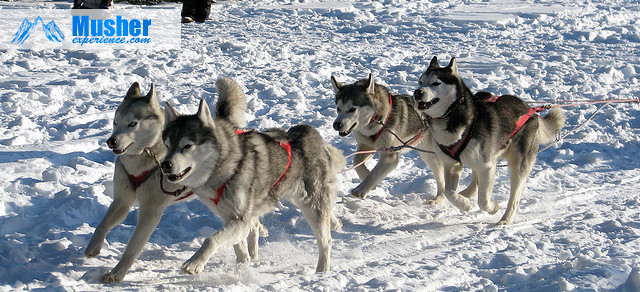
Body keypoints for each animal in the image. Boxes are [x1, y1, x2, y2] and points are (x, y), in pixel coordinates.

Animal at [86, 78, 266, 282]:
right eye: (115, 123)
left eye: (132, 124)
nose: (111, 141)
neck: (144, 160)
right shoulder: (122, 200)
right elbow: (103, 224)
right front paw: (93, 246)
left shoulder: (150, 211)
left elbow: (132, 247)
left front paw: (118, 272)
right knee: (251, 223)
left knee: (250, 222)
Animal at [161, 92, 344, 272]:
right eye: (167, 145)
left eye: (187, 146)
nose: (165, 165)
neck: (226, 167)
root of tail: (310, 132)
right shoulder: (229, 216)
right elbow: (238, 246)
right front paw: (243, 264)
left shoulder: (241, 219)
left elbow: (211, 239)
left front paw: (194, 262)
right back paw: (335, 223)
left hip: (310, 206)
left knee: (325, 241)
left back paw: (321, 271)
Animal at [330, 74, 476, 203]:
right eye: (338, 108)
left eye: (352, 109)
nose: (336, 125)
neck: (378, 120)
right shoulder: (367, 146)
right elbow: (357, 162)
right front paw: (367, 178)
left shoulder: (390, 156)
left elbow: (374, 173)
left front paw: (362, 189)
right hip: (428, 155)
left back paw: (439, 199)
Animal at [412, 57, 564, 225]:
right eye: (420, 82)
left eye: (436, 83)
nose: (417, 92)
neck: (453, 117)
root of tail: (531, 111)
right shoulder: (451, 164)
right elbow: (449, 191)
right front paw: (465, 204)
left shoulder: (487, 166)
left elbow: (483, 200)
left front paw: (493, 207)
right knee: (475, 181)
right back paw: (467, 193)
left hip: (518, 165)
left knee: (514, 198)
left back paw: (505, 219)